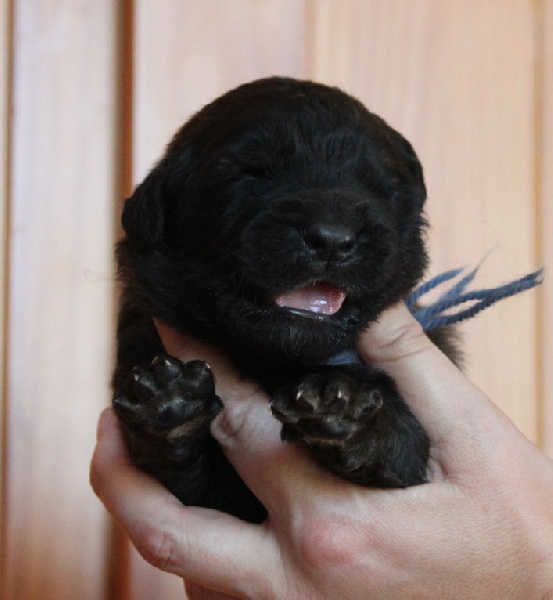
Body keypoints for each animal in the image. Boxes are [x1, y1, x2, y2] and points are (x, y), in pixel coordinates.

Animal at [112, 77, 457, 524]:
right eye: (250, 173)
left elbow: (402, 441)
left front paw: (340, 404)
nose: (332, 239)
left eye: (379, 186)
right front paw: (167, 402)